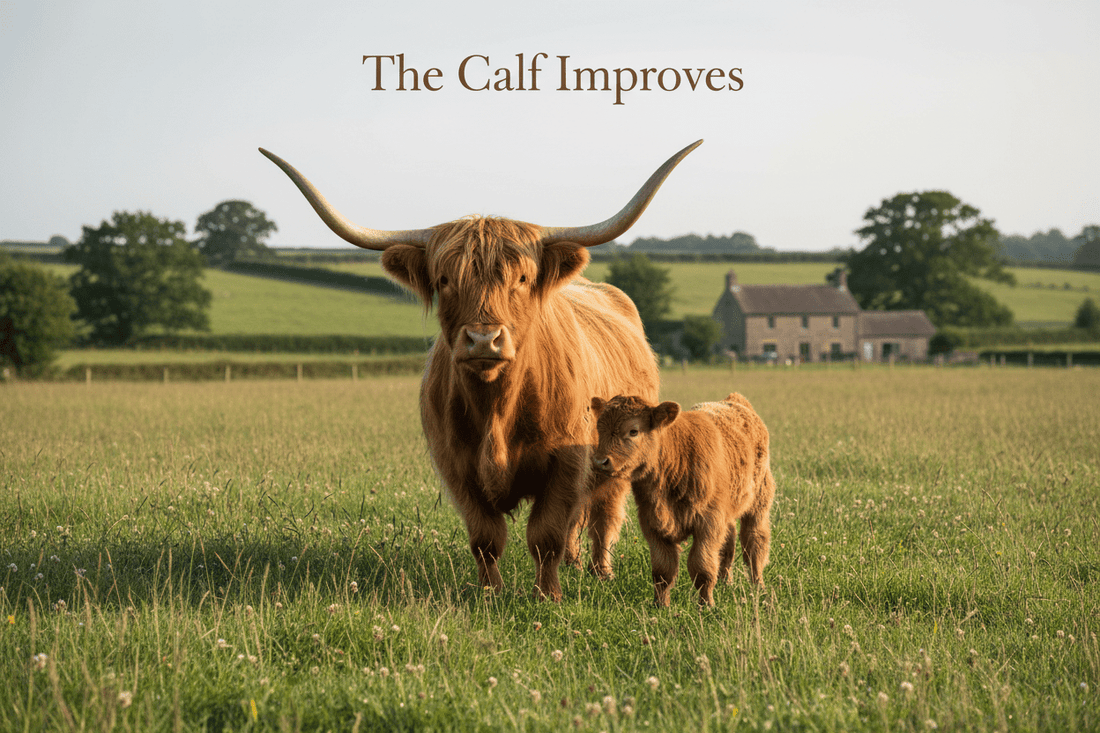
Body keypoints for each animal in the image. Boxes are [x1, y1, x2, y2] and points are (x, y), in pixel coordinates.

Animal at [260, 141, 702, 601]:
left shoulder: (567, 461)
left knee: (604, 516)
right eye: (444, 279)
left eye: (522, 277)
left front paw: (548, 595)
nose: (483, 339)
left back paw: (600, 571)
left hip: (616, 460)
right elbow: (486, 537)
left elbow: (546, 534)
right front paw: (490, 593)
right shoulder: (455, 465)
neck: (497, 409)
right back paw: (577, 565)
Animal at [589, 392, 775, 607]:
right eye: (599, 428)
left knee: (754, 545)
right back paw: (725, 582)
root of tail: (734, 400)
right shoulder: (652, 523)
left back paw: (758, 586)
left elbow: (701, 566)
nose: (600, 461)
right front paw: (660, 605)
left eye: (633, 431)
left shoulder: (708, 523)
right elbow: (663, 570)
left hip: (758, 504)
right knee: (728, 545)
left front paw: (706, 605)